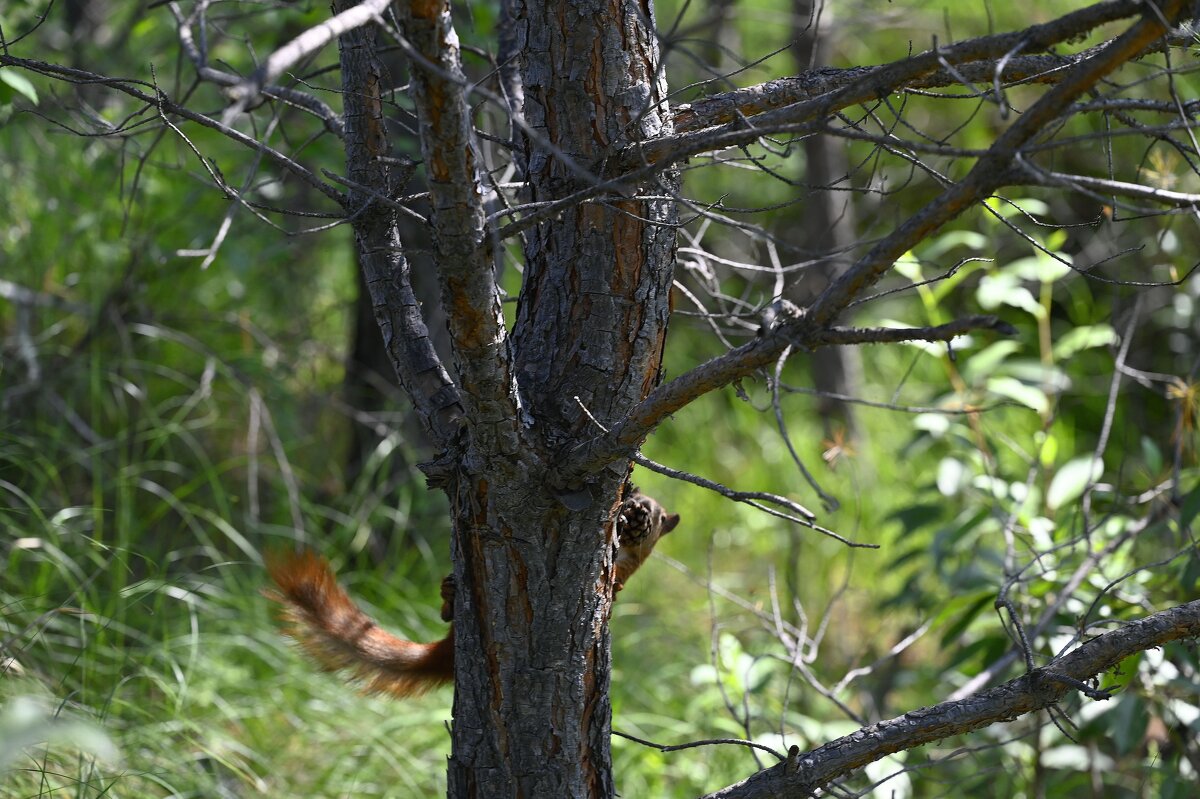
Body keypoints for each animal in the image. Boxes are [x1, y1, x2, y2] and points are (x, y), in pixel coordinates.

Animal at [267, 487, 679, 698]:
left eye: (660, 518)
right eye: (634, 502)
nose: (640, 513)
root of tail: (449, 648)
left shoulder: (629, 568)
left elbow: (620, 579)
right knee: (446, 610)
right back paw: (449, 592)